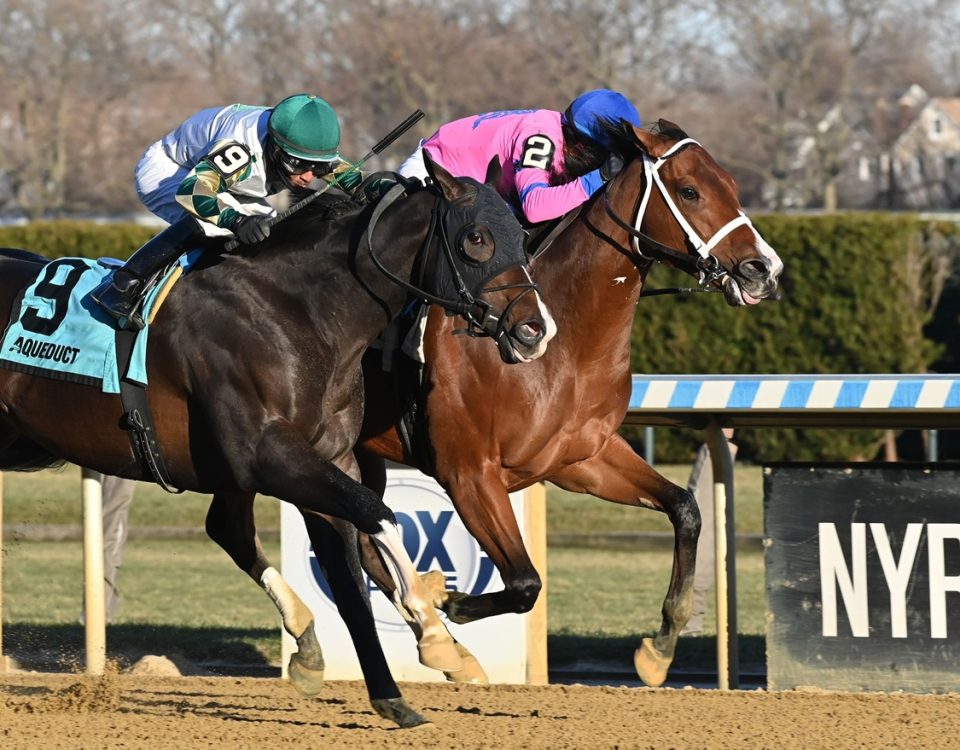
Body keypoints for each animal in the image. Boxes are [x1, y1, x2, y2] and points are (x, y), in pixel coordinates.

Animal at [0, 157, 556, 728]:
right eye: (477, 238)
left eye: (522, 234)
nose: (534, 331)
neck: (298, 310)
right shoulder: (270, 456)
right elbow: (379, 516)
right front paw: (431, 624)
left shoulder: (327, 459)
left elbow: (351, 581)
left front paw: (396, 689)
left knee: (228, 528)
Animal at [356, 120, 784, 692]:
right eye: (691, 191)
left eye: (733, 186)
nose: (764, 269)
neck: (564, 343)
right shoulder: (467, 471)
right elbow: (524, 582)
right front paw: (449, 597)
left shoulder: (580, 459)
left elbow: (685, 508)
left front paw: (660, 648)